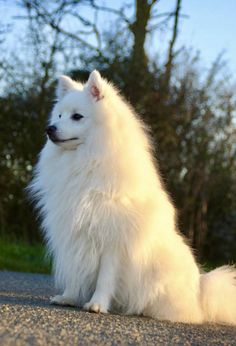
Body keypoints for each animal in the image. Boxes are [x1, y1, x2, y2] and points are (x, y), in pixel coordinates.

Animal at [29, 70, 236, 324]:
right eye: (58, 115)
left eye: (77, 117)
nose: (50, 128)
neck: (86, 160)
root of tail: (200, 292)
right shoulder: (75, 234)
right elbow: (76, 271)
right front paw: (68, 297)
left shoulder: (113, 239)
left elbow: (105, 277)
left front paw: (97, 304)